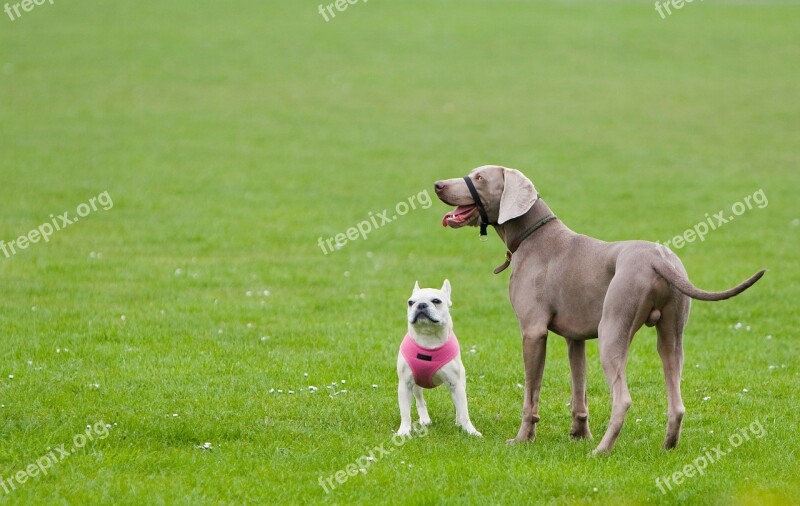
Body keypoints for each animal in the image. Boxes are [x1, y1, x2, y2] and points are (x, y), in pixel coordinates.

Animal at [396, 278, 482, 436]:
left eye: (436, 301)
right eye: (410, 302)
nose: (421, 305)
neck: (428, 337)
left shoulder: (456, 384)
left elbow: (464, 411)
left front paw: (470, 430)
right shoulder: (405, 384)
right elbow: (405, 412)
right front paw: (404, 431)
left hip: (461, 383)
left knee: (459, 406)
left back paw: (458, 422)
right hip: (416, 386)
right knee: (420, 400)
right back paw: (424, 419)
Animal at [434, 164, 764, 452]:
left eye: (479, 178)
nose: (437, 184)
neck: (533, 236)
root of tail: (658, 260)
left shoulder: (533, 332)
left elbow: (531, 395)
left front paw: (523, 438)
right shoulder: (575, 338)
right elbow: (579, 389)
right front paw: (579, 434)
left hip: (612, 330)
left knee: (623, 399)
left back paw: (603, 450)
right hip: (671, 335)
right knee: (677, 399)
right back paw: (667, 446)